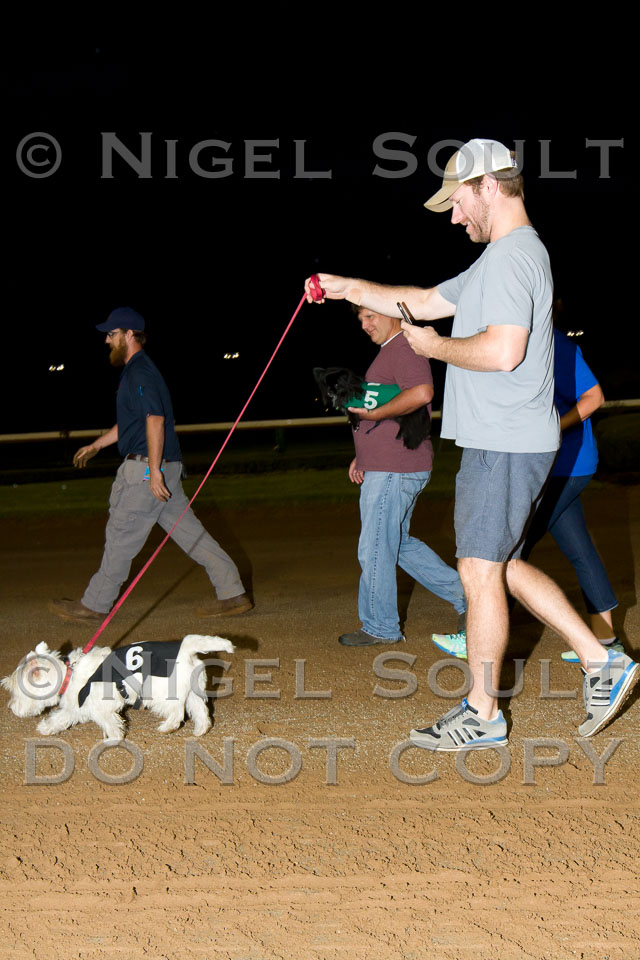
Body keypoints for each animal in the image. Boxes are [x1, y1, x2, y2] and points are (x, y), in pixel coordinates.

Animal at [1, 635, 235, 741]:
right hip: (193, 693)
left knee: (177, 713)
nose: (10, 707)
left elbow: (111, 725)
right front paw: (46, 728)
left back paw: (166, 727)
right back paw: (200, 730)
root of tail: (187, 648)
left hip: (162, 694)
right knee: (201, 713)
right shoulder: (75, 708)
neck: (69, 675)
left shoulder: (101, 710)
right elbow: (59, 718)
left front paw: (113, 740)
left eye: (15, 690)